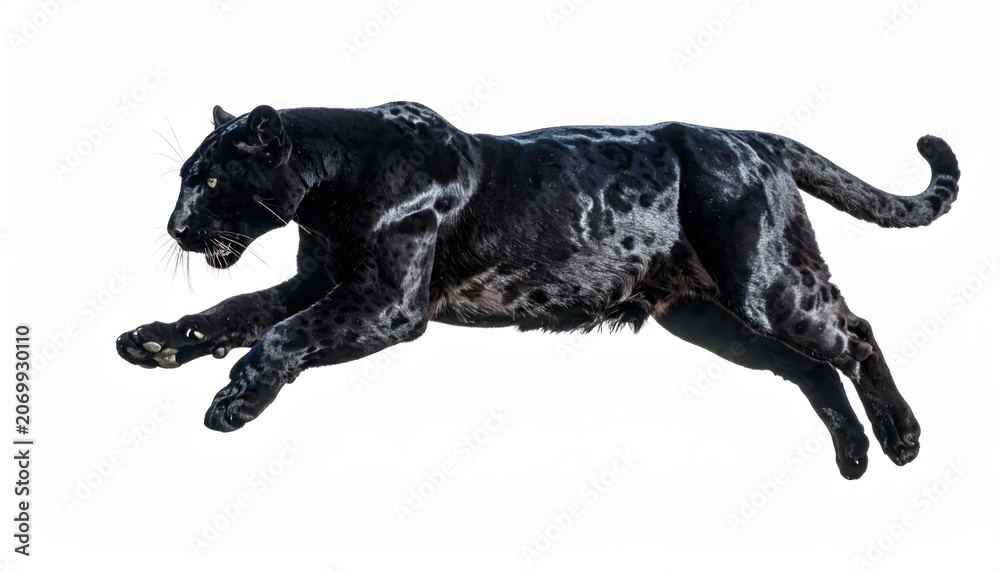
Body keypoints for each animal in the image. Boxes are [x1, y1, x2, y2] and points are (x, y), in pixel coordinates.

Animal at [116, 102, 960, 479]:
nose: (176, 226)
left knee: (855, 334)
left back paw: (902, 437)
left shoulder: (384, 300)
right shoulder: (319, 279)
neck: (328, 188)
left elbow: (279, 335)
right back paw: (853, 454)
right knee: (813, 366)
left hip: (767, 288)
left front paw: (233, 402)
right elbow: (237, 311)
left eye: (210, 179)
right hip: (720, 318)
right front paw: (153, 341)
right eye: (187, 177)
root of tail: (753, 136)